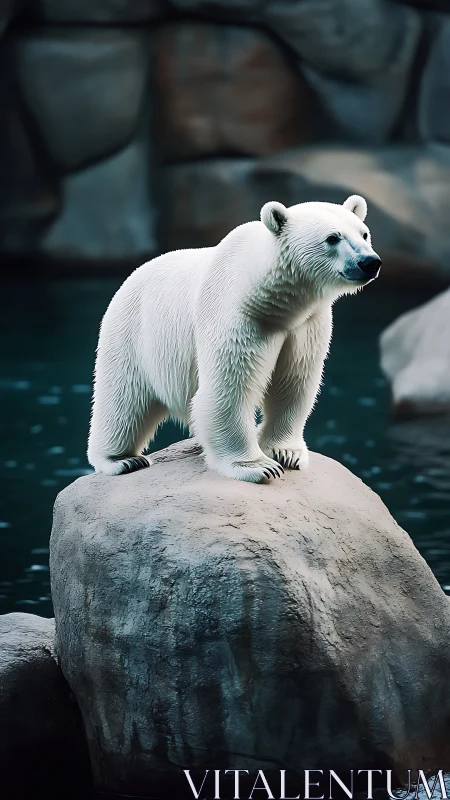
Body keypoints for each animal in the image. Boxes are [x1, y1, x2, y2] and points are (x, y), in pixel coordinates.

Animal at [87, 195, 381, 483]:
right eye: (332, 237)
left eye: (364, 233)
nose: (370, 262)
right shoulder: (236, 314)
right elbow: (230, 387)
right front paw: (258, 466)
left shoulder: (306, 324)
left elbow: (294, 382)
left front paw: (286, 452)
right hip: (134, 331)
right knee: (124, 396)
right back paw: (122, 459)